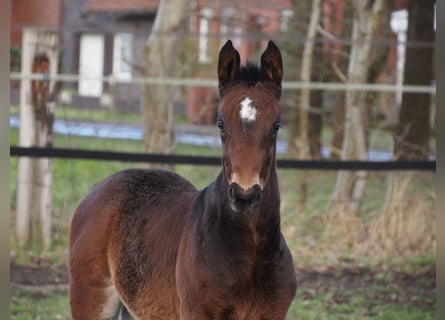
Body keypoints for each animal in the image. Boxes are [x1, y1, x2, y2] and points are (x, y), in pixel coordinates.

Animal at [69, 40, 296, 320]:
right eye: (220, 123)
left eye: (276, 125)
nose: (245, 195)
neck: (250, 250)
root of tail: (95, 192)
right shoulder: (197, 311)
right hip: (92, 300)